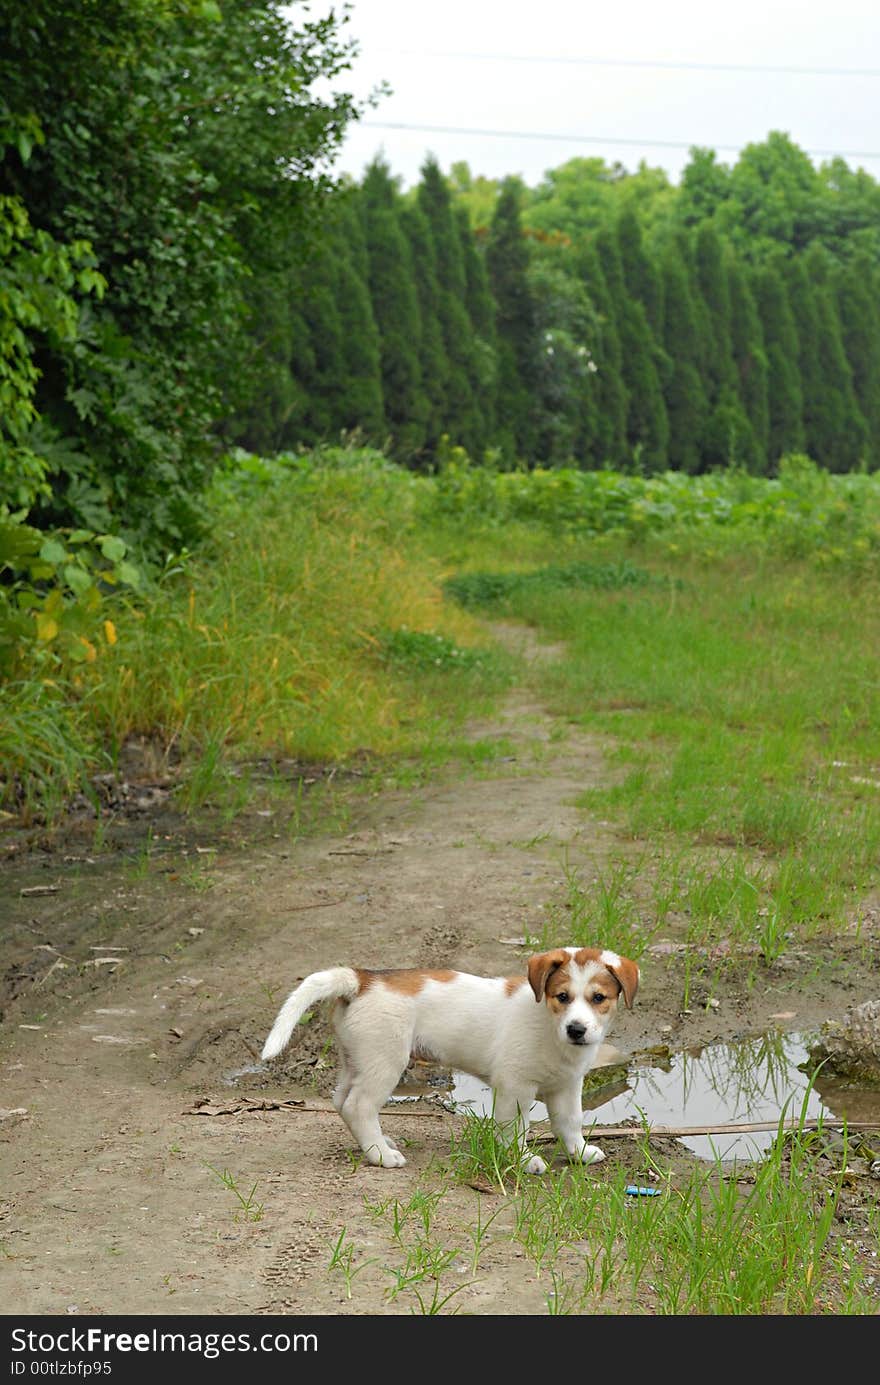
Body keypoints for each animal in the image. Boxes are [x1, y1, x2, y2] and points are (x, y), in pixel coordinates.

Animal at [257, 941, 637, 1168]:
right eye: (562, 996)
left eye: (598, 998)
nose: (577, 1029)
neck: (548, 1026)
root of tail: (362, 979)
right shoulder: (514, 1087)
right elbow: (515, 1128)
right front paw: (522, 1159)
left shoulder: (568, 1086)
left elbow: (570, 1122)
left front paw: (579, 1152)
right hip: (385, 1062)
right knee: (358, 1105)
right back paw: (381, 1155)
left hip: (358, 1058)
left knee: (341, 1100)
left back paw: (376, 1143)